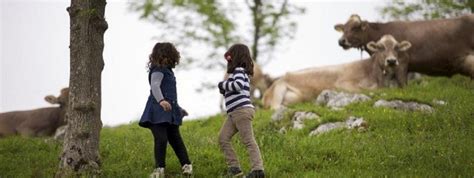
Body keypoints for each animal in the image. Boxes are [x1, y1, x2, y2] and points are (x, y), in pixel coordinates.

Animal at [262, 34, 412, 109]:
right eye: (380, 47)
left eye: (396, 47)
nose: (391, 61)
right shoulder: (343, 83)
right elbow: (368, 90)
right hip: (279, 90)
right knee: (275, 108)